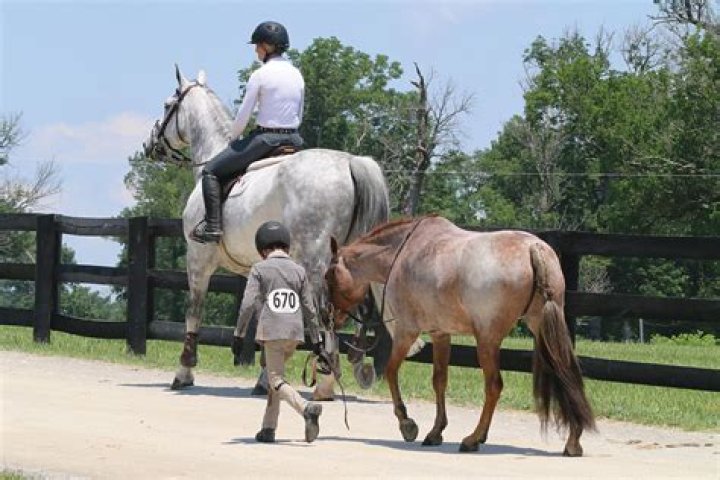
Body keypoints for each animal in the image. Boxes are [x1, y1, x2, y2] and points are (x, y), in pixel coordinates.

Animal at [143, 65, 389, 393]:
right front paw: (266, 377)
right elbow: (267, 319)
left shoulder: (198, 259)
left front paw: (184, 372)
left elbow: (194, 311)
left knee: (325, 314)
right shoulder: (263, 267)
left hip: (316, 263)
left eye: (168, 105)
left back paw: (325, 382)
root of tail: (350, 163)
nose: (150, 145)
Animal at [324, 215, 596, 455]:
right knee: (566, 374)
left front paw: (407, 424)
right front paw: (435, 432)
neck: (402, 252)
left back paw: (473, 439)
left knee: (493, 386)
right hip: (542, 329)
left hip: (487, 341)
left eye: (329, 276)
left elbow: (391, 372)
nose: (331, 316)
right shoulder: (441, 334)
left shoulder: (405, 332)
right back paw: (573, 440)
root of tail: (534, 248)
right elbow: (439, 380)